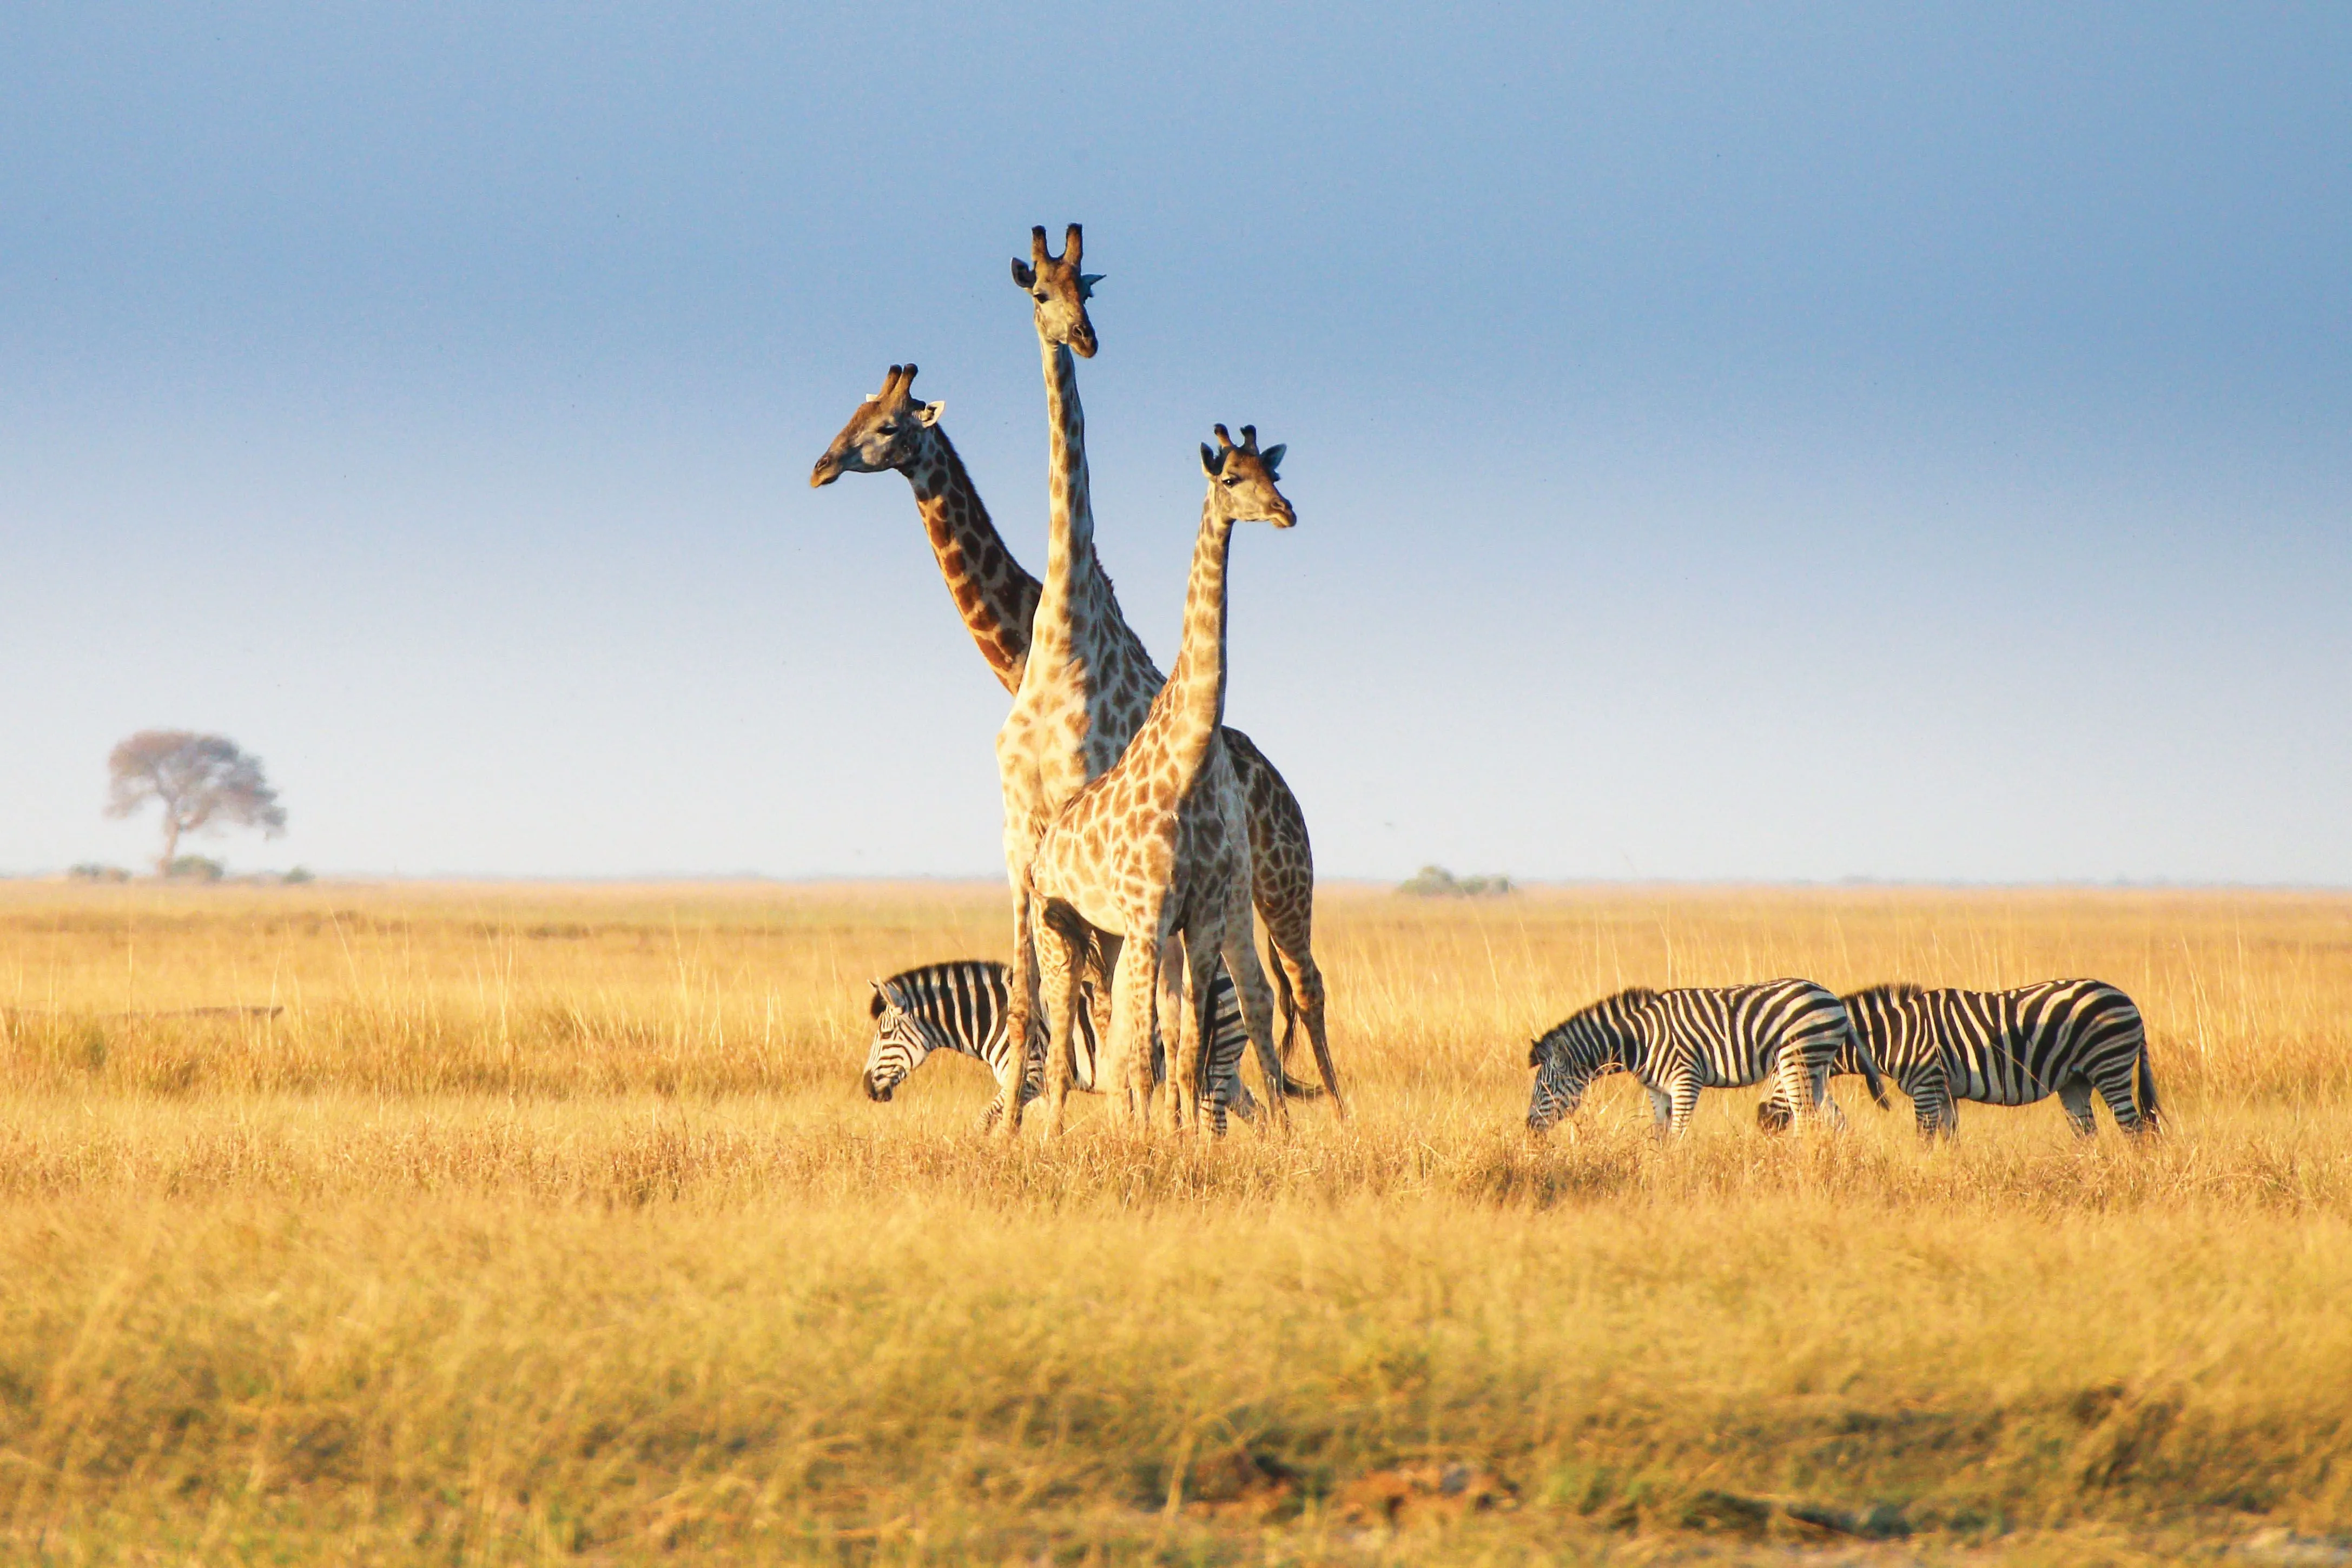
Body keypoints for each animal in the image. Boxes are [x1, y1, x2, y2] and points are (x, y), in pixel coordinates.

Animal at [861, 959, 1298, 1134]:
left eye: (886, 1035)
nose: (866, 1089)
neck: (997, 1017)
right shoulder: (1037, 1086)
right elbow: (1025, 1122)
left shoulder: (1029, 1074)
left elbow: (987, 1120)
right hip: (1223, 1062)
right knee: (1258, 1114)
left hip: (1216, 1056)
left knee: (1219, 1119)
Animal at [1525, 979, 1885, 1137]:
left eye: (1544, 1090)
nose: (1528, 1128)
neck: (1639, 1041)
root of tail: (1831, 996)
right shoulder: (1658, 1090)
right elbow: (1661, 1133)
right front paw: (1657, 1168)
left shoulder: (1686, 1080)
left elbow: (1678, 1134)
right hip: (1818, 1065)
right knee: (1833, 1118)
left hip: (1798, 1059)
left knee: (1807, 1118)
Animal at [1758, 979, 2161, 1138]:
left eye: (1779, 1073)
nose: (1762, 1120)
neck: (1894, 1034)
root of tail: (2128, 1000)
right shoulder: (1945, 1090)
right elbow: (1949, 1138)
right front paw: (1947, 1172)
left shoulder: (1926, 1085)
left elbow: (1925, 1136)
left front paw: (1921, 1175)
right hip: (2075, 1081)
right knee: (2087, 1132)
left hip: (2109, 1064)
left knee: (2133, 1128)